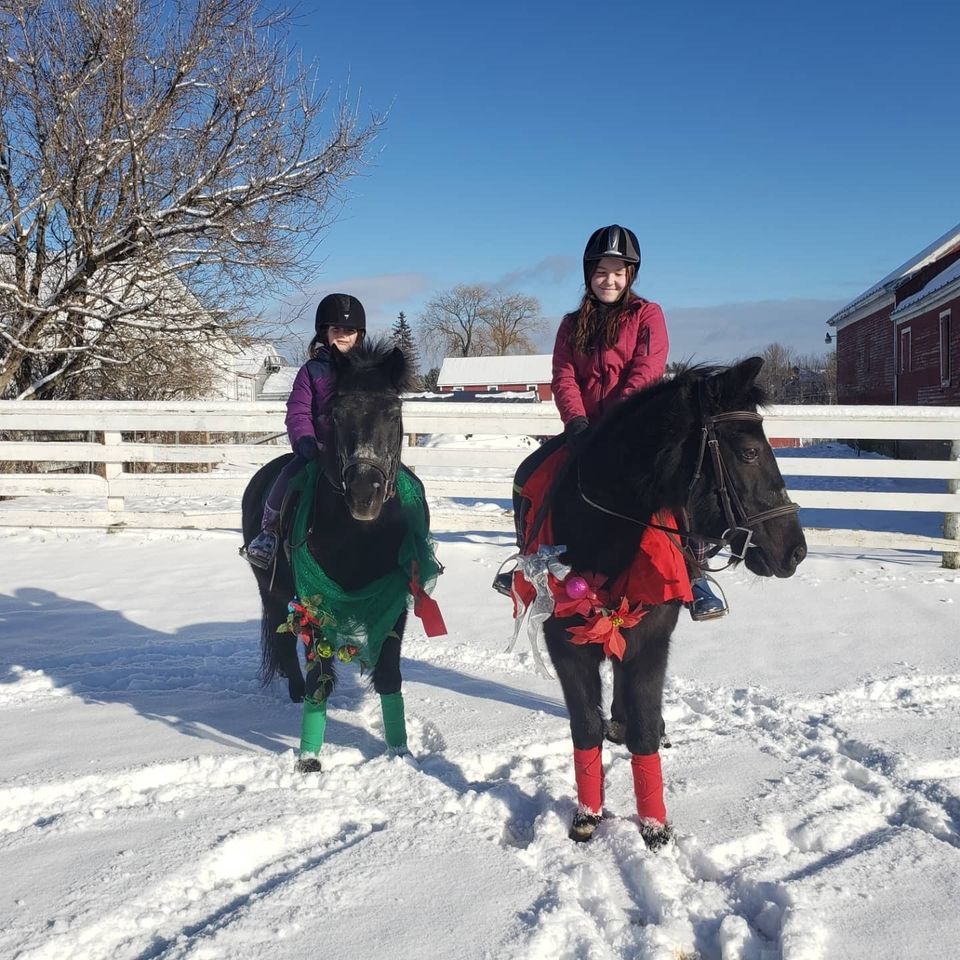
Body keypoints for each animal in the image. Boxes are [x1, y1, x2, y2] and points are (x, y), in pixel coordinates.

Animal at [241, 340, 441, 772]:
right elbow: (320, 680)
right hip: (272, 592)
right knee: (286, 647)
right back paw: (294, 693)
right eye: (336, 413)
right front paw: (309, 760)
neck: (359, 532)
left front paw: (400, 754)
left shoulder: (394, 599)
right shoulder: (315, 602)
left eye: (393, 412)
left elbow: (388, 675)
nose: (364, 493)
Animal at [519, 356, 807, 846]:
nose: (796, 550)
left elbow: (646, 733)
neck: (600, 536)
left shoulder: (652, 641)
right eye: (750, 453)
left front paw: (655, 828)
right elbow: (585, 728)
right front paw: (587, 816)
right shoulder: (565, 645)